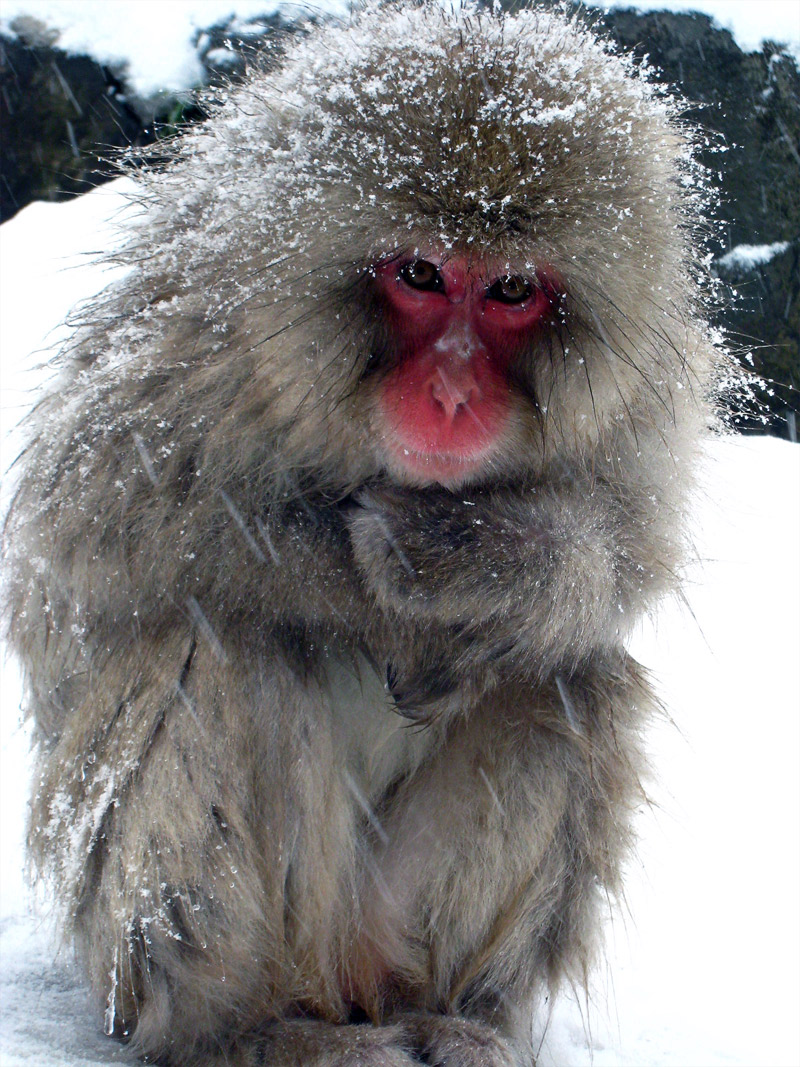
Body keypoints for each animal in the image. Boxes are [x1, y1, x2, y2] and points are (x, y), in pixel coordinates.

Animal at [6, 4, 721, 1062]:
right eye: (421, 274)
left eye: (510, 291)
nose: (452, 393)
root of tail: (345, 977)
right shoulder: (188, 351)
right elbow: (99, 521)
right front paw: (394, 599)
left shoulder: (635, 407)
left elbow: (629, 547)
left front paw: (482, 563)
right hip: (169, 956)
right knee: (223, 653)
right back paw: (253, 1029)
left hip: (389, 920)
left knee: (570, 679)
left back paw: (450, 1010)